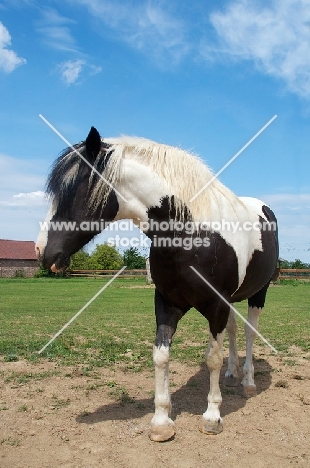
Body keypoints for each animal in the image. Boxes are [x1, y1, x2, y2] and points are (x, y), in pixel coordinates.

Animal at [36, 127, 278, 442]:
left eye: (72, 189)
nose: (42, 252)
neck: (189, 234)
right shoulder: (167, 302)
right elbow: (161, 356)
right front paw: (162, 421)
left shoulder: (216, 305)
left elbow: (212, 357)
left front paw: (212, 416)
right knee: (235, 331)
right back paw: (231, 373)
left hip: (258, 294)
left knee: (249, 332)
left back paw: (247, 380)